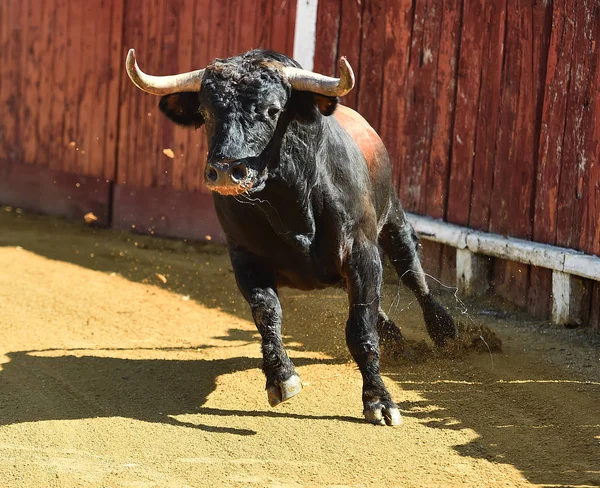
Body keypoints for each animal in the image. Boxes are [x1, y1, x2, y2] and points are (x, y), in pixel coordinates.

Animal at [124, 47, 458, 426]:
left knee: (412, 272)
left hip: (393, 220)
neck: (290, 200)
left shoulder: (362, 253)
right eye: (206, 113)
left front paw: (379, 401)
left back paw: (447, 334)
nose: (225, 170)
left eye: (273, 110)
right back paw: (399, 341)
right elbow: (267, 313)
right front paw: (281, 378)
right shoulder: (245, 258)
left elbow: (360, 326)